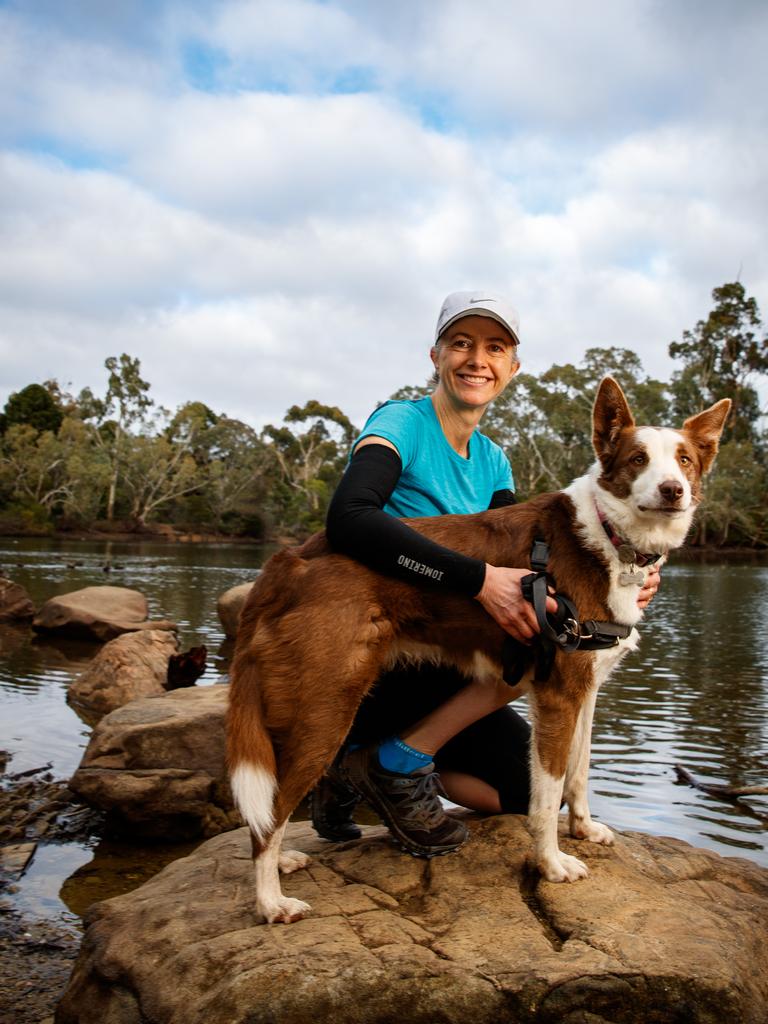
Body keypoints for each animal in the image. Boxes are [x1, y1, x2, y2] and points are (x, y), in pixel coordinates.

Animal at [225, 380, 729, 925]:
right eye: (639, 459)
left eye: (684, 460)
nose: (673, 490)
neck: (610, 538)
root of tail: (289, 561)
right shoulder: (557, 694)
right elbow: (546, 794)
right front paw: (551, 864)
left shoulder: (586, 688)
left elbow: (580, 770)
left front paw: (584, 829)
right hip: (323, 708)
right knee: (270, 812)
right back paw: (271, 900)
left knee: (269, 805)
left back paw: (286, 861)